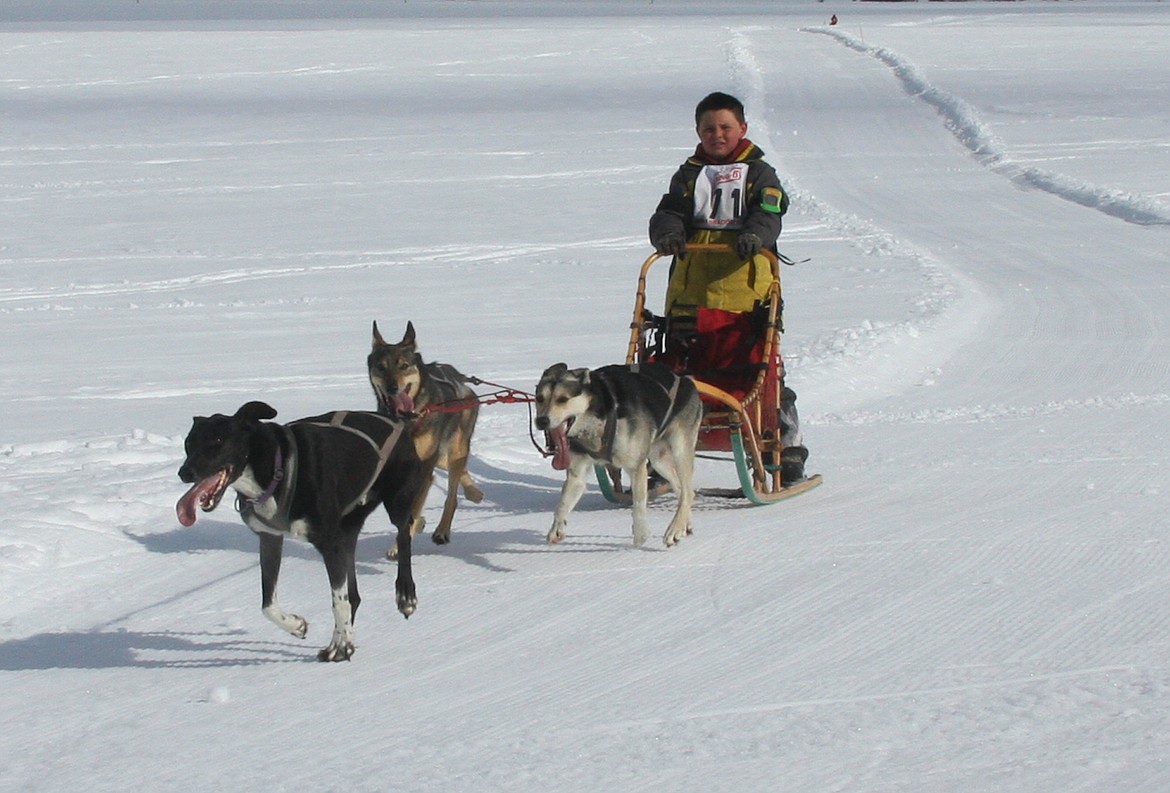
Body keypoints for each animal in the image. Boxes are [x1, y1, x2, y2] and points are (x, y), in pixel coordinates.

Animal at [372, 320, 486, 556]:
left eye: (404, 365)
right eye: (381, 366)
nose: (392, 387)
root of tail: (460, 378)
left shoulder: (423, 469)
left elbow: (413, 511)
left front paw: (400, 543)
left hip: (455, 448)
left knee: (451, 496)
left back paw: (442, 530)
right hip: (442, 455)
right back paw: (473, 492)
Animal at [533, 362, 702, 549]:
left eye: (562, 399)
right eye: (539, 398)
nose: (541, 421)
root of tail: (685, 380)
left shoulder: (636, 467)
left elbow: (638, 503)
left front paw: (640, 534)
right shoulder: (577, 474)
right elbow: (562, 504)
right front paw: (556, 529)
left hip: (680, 449)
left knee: (687, 493)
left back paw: (674, 530)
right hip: (659, 460)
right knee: (682, 489)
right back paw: (684, 526)